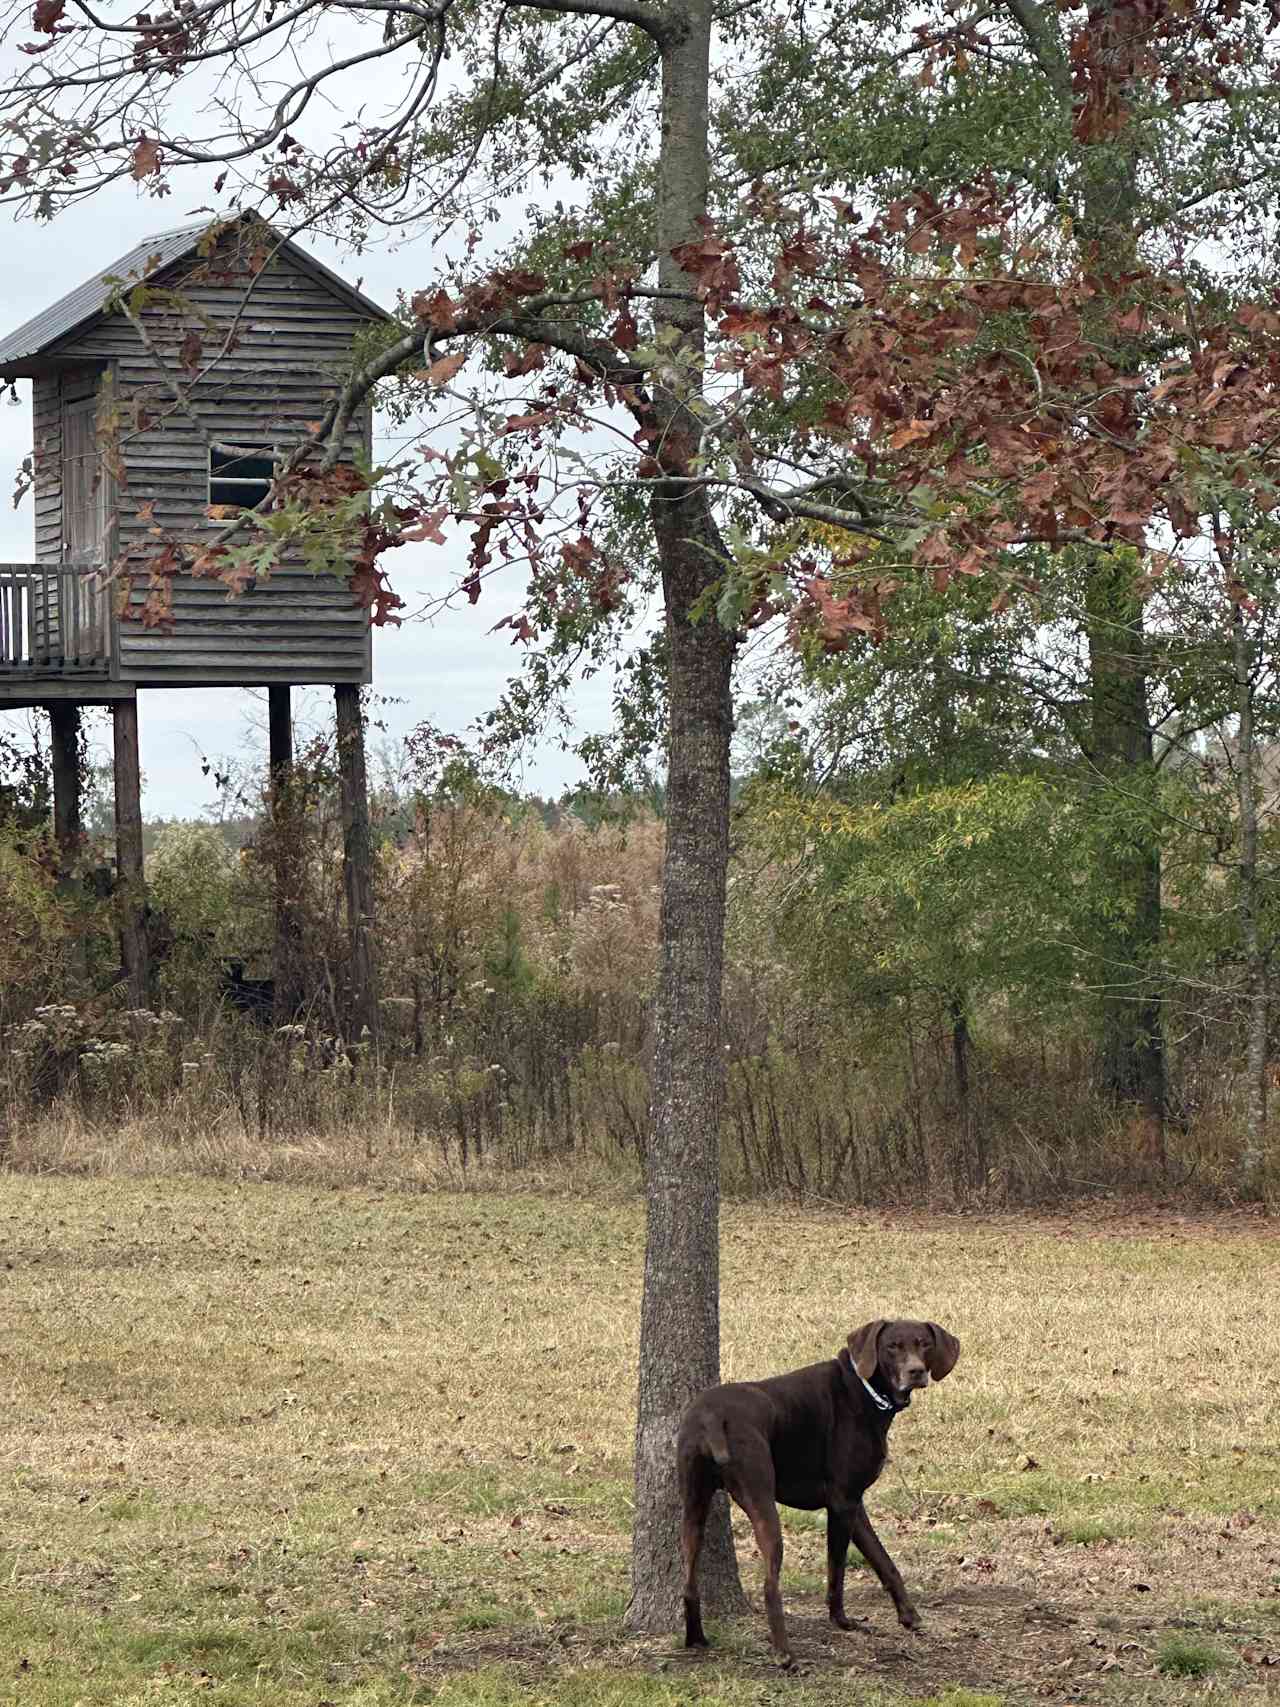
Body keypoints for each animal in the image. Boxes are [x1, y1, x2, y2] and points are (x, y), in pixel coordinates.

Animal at [682, 1317, 962, 1666]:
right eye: (892, 1346)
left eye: (924, 1343)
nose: (916, 1371)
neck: (864, 1391)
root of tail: (711, 1418)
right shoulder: (843, 1503)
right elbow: (837, 1570)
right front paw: (840, 1621)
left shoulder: (854, 1505)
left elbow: (884, 1561)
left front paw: (909, 1616)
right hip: (762, 1504)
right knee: (770, 1585)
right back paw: (785, 1654)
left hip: (693, 1506)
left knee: (688, 1582)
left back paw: (696, 1639)